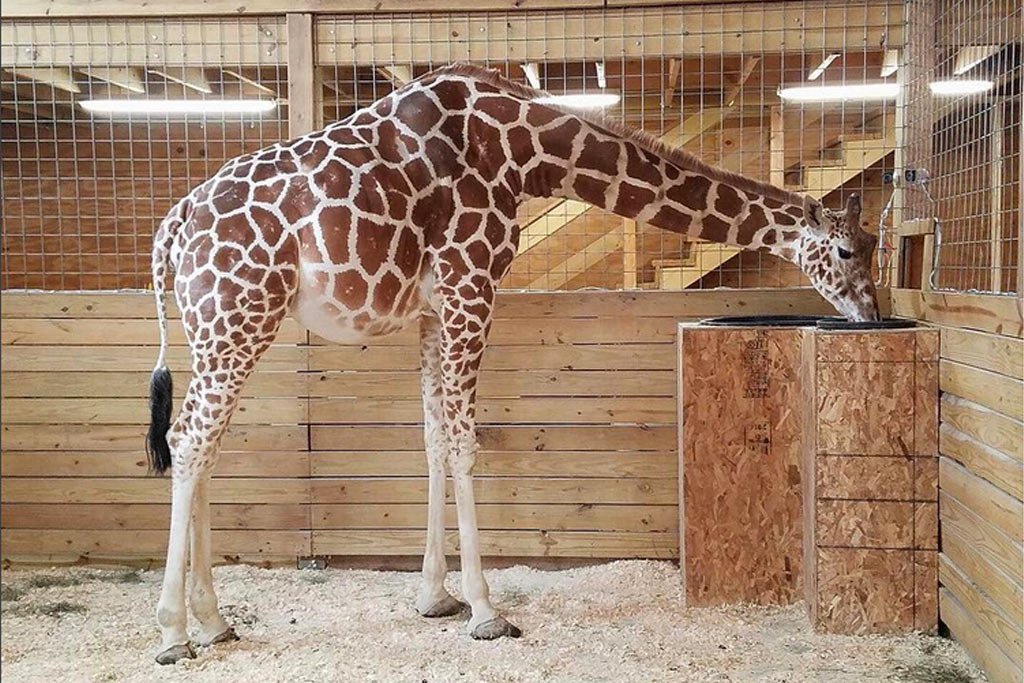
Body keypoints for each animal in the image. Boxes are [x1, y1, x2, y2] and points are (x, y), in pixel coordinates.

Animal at [146, 63, 880, 663]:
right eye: (846, 251)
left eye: (873, 247)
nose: (872, 314)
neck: (526, 151)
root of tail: (173, 227)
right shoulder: (472, 286)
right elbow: (466, 443)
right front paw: (485, 609)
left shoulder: (433, 309)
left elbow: (434, 440)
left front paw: (435, 596)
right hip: (238, 316)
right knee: (189, 438)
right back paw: (174, 629)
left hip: (218, 327)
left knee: (204, 444)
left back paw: (213, 621)